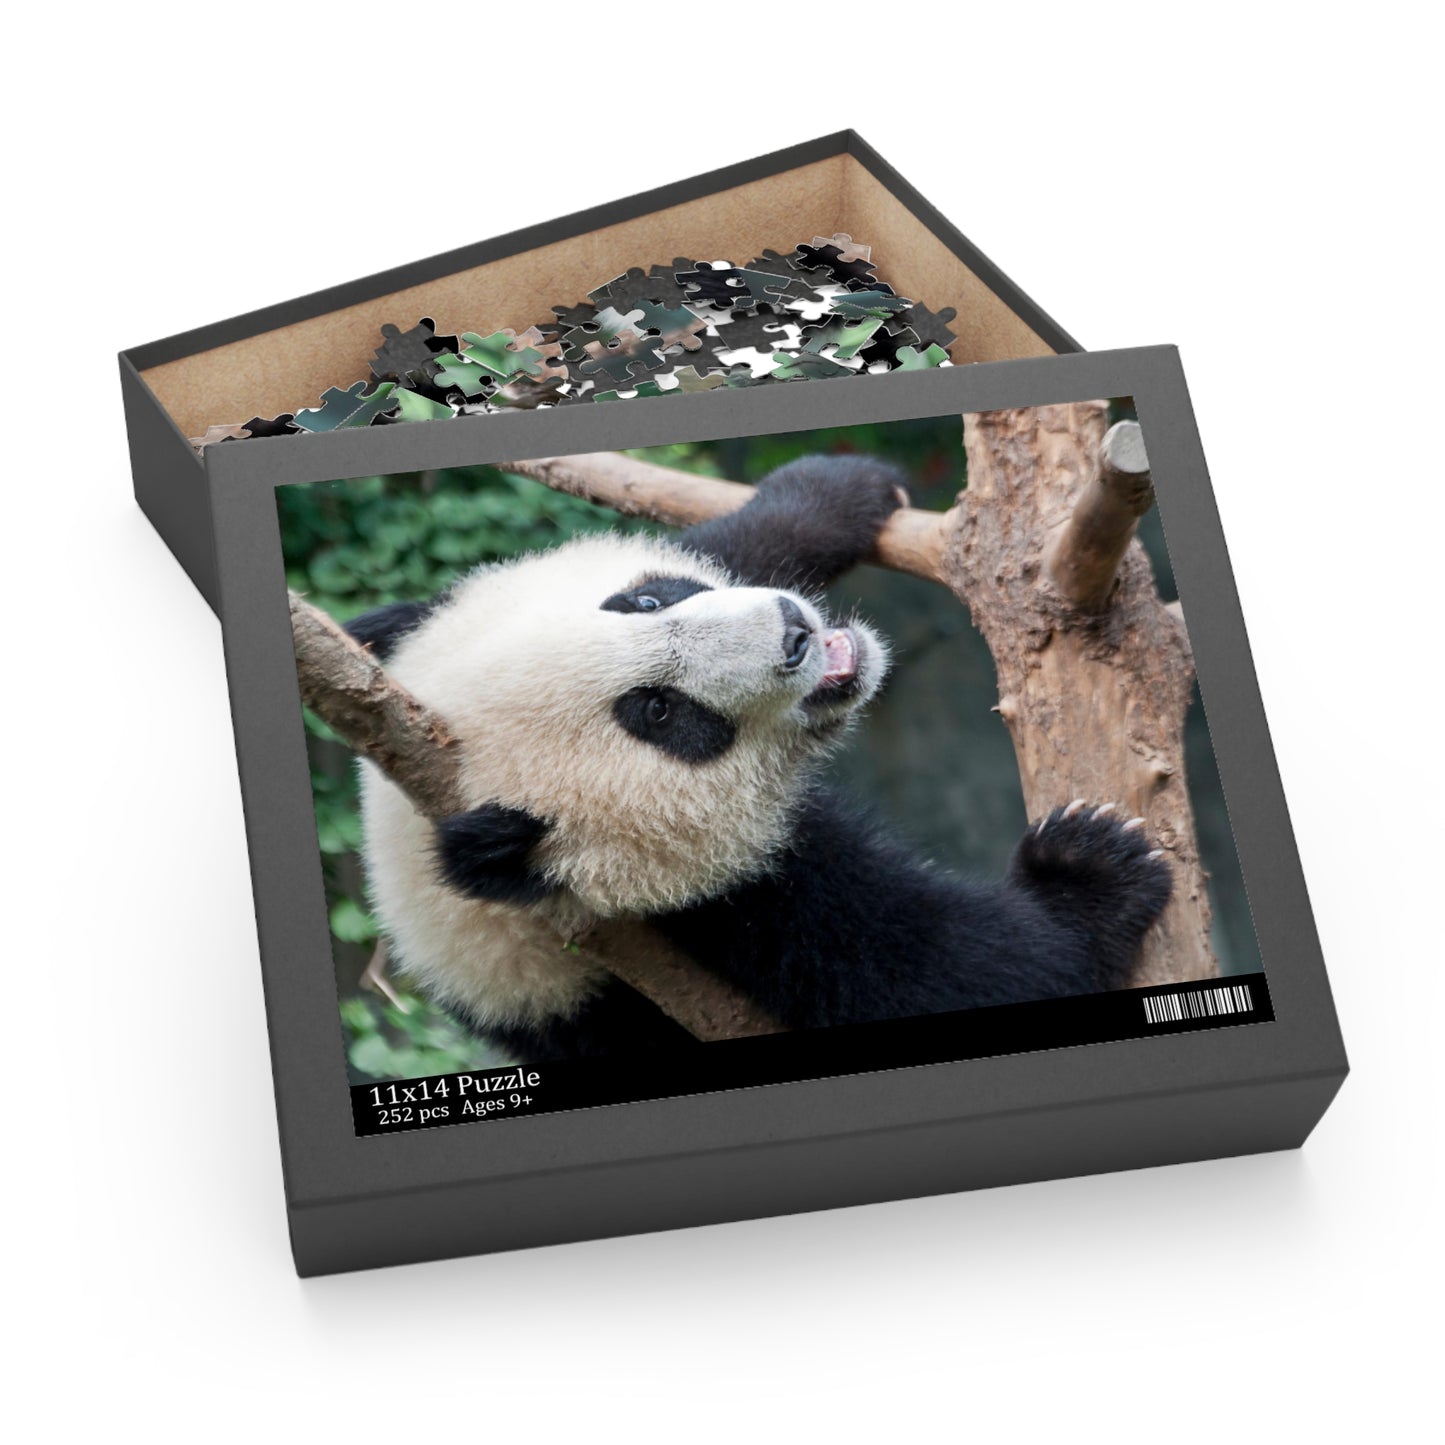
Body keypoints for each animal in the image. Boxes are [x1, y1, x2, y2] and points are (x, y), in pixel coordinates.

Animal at [346, 455, 1172, 1061]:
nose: (793, 630)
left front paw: (837, 488)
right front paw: (1087, 869)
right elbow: (945, 973)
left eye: (642, 603)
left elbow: (732, 546)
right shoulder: (689, 924)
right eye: (660, 712)